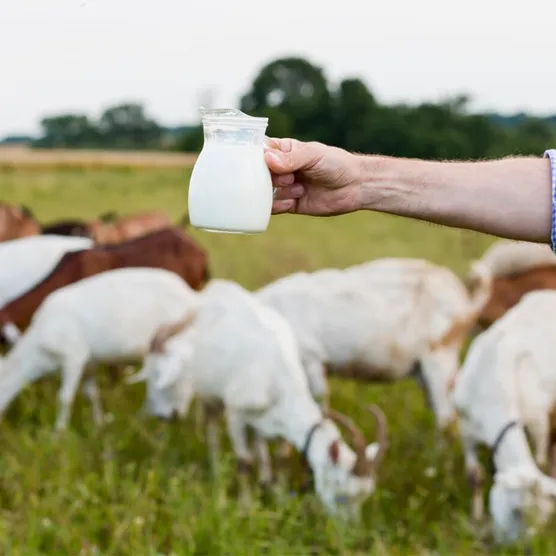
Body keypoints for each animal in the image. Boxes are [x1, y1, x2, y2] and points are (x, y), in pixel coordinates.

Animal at [0, 266, 200, 430]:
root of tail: (191, 297)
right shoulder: (90, 363)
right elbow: (91, 394)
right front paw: (99, 426)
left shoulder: (74, 356)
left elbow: (65, 397)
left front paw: (59, 434)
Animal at [129, 280, 388, 520]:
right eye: (341, 492)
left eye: (365, 496)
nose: (349, 530)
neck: (274, 376)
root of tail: (215, 289)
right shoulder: (236, 414)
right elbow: (243, 462)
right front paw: (245, 509)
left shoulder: (280, 420)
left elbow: (282, 458)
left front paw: (282, 501)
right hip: (208, 392)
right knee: (213, 428)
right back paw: (217, 471)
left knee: (258, 439)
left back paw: (265, 479)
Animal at [256, 258, 490, 432]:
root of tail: (465, 302)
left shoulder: (311, 360)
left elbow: (320, 407)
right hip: (422, 371)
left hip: (440, 358)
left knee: (446, 418)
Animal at [454, 288, 556, 544]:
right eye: (516, 512)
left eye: (544, 519)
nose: (522, 548)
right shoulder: (466, 427)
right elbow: (474, 476)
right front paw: (476, 518)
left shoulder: (538, 422)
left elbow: (540, 459)